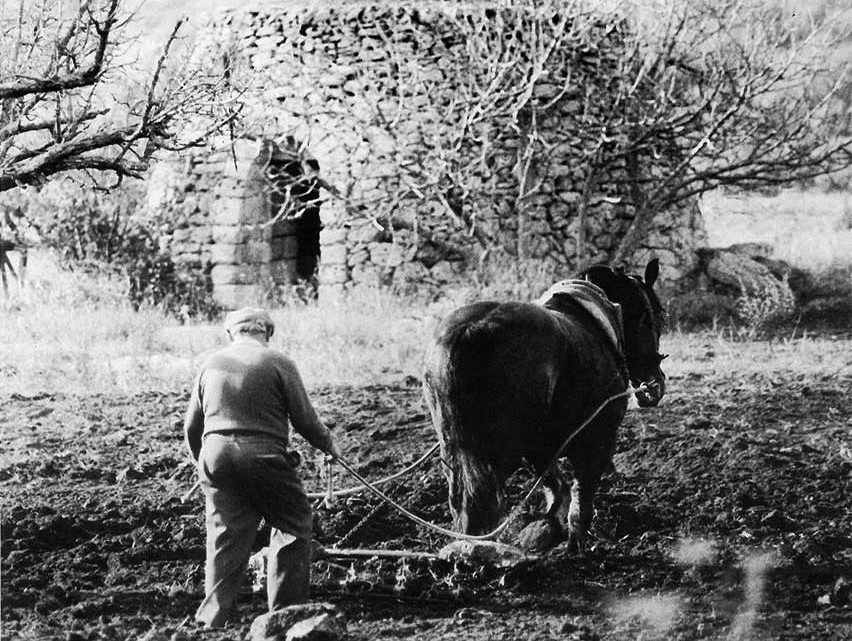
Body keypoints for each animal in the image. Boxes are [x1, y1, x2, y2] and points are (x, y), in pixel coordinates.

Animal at [422, 258, 668, 548]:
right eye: (655, 315)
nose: (656, 385)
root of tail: (468, 333)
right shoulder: (598, 438)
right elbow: (581, 496)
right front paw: (576, 542)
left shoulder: (542, 448)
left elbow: (555, 486)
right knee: (484, 502)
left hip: (455, 453)